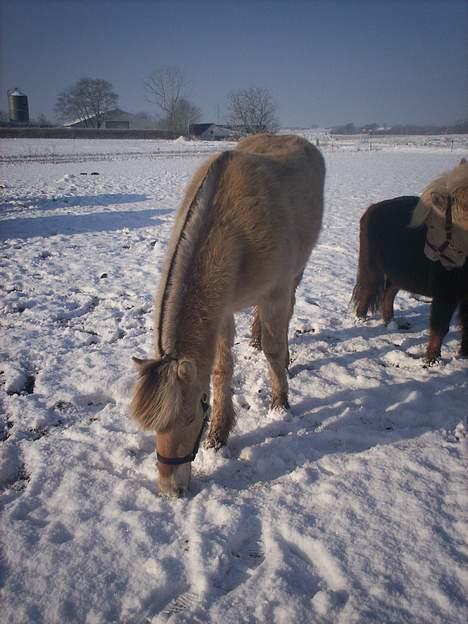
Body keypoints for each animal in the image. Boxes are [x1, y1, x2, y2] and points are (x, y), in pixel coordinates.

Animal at [130, 134, 324, 494]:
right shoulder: (221, 312)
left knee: (286, 317)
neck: (233, 229)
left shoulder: (275, 293)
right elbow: (222, 368)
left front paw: (280, 405)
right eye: (155, 427)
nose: (170, 489)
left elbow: (274, 352)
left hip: (295, 275)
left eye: (190, 416)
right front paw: (218, 434)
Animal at [352, 158, 468, 364]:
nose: (429, 254)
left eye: (433, 225)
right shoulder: (445, 293)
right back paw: (362, 318)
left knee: (388, 295)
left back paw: (390, 322)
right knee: (368, 291)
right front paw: (432, 360)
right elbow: (440, 327)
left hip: (399, 273)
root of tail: (373, 207)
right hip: (372, 267)